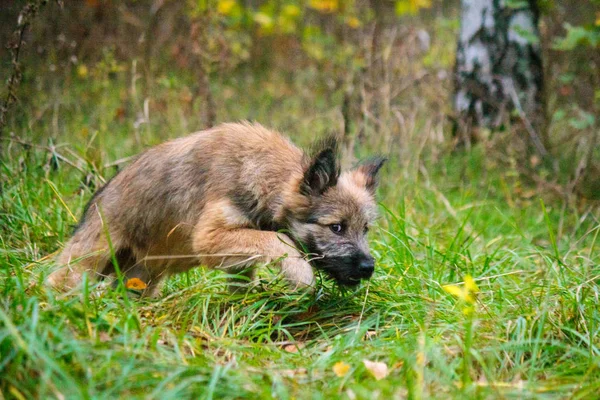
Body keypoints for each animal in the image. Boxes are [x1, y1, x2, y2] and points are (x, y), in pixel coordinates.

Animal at [45, 122, 384, 296]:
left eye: (365, 229)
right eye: (336, 227)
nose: (368, 267)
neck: (259, 173)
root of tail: (96, 199)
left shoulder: (237, 252)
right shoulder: (208, 238)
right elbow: (279, 239)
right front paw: (299, 272)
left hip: (140, 279)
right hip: (89, 261)